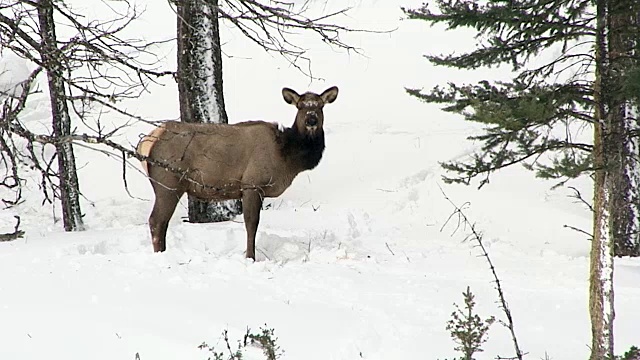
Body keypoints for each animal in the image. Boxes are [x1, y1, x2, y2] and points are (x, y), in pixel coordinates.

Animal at [137, 86, 338, 260]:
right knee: (156, 221)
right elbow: (251, 224)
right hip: (168, 182)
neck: (286, 157)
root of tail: (147, 142)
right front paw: (250, 257)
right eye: (300, 106)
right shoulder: (252, 184)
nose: (311, 120)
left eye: (320, 106)